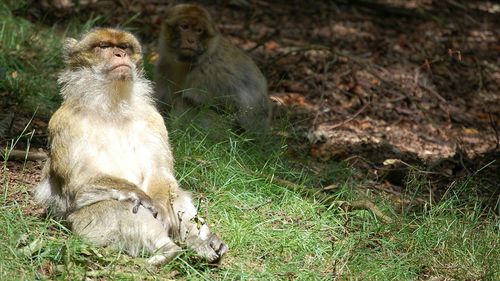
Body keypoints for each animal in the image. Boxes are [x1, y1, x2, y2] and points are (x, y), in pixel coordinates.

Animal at [35, 27, 229, 264]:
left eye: (124, 47)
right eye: (104, 46)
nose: (120, 55)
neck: (112, 107)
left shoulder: (153, 118)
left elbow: (161, 176)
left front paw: (166, 208)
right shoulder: (65, 122)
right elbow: (79, 183)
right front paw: (143, 198)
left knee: (175, 194)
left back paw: (199, 242)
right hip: (85, 223)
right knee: (123, 205)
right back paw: (167, 250)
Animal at [156, 3, 272, 135]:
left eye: (199, 30)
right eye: (184, 26)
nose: (191, 40)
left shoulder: (209, 73)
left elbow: (229, 106)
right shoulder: (166, 65)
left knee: (183, 101)